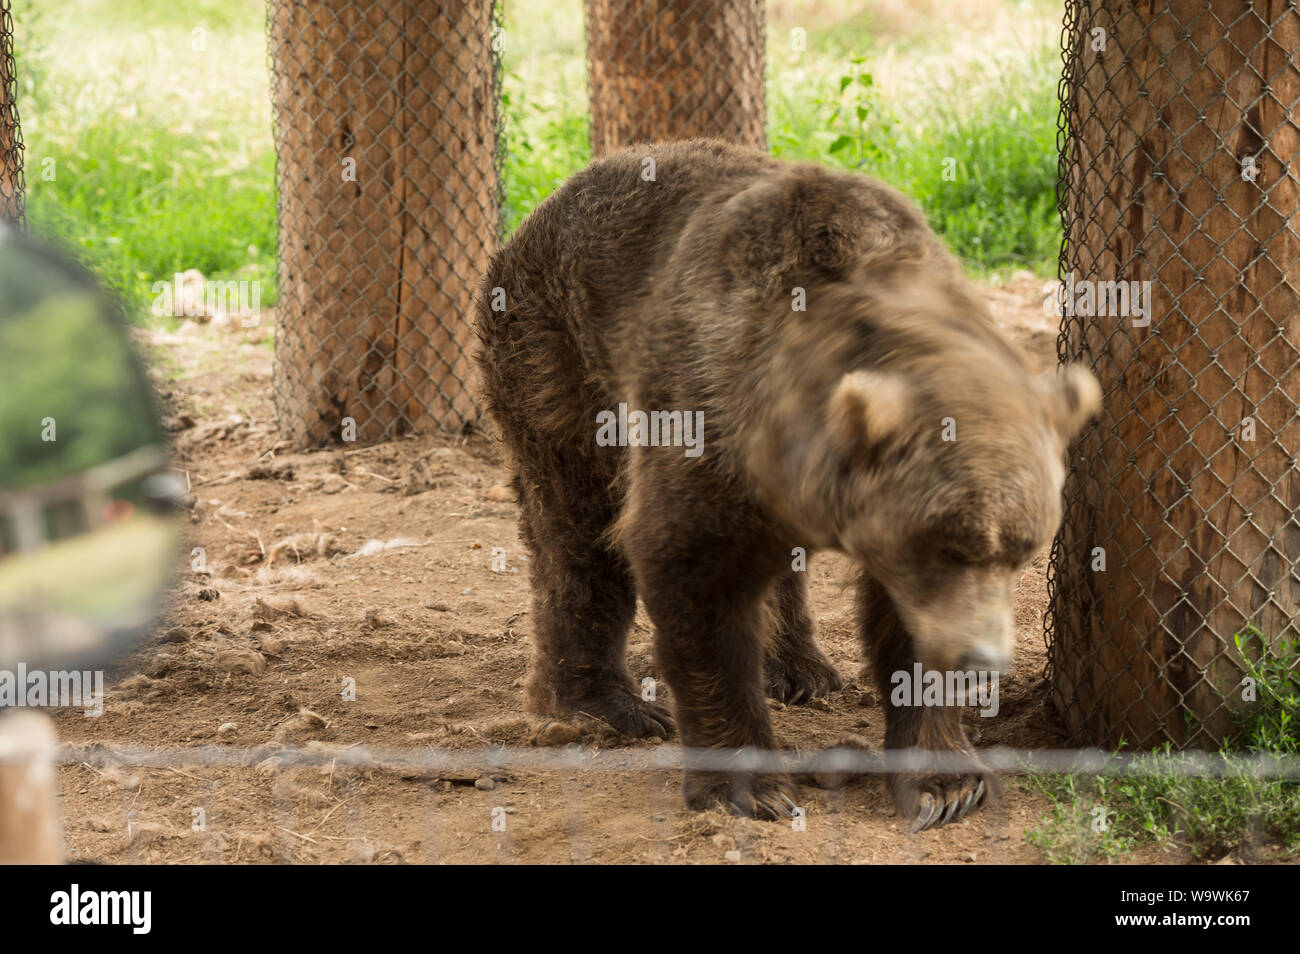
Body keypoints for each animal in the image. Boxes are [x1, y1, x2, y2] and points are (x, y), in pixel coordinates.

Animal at [473, 138, 1102, 831]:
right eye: (952, 546)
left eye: (1020, 551)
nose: (981, 664)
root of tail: (538, 211)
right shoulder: (707, 398)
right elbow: (692, 568)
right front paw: (750, 788)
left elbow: (903, 624)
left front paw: (946, 783)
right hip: (554, 351)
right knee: (576, 526)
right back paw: (604, 705)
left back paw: (802, 670)